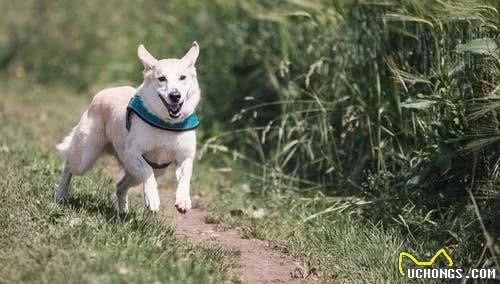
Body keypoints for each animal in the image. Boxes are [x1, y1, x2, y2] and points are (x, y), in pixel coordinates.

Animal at [55, 42, 201, 214]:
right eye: (162, 78)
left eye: (182, 77)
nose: (175, 95)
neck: (166, 124)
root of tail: (101, 94)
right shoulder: (132, 154)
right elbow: (147, 170)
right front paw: (152, 198)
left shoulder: (185, 157)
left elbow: (186, 177)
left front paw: (183, 200)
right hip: (85, 156)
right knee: (69, 167)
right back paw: (59, 196)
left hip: (145, 172)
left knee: (120, 186)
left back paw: (123, 212)